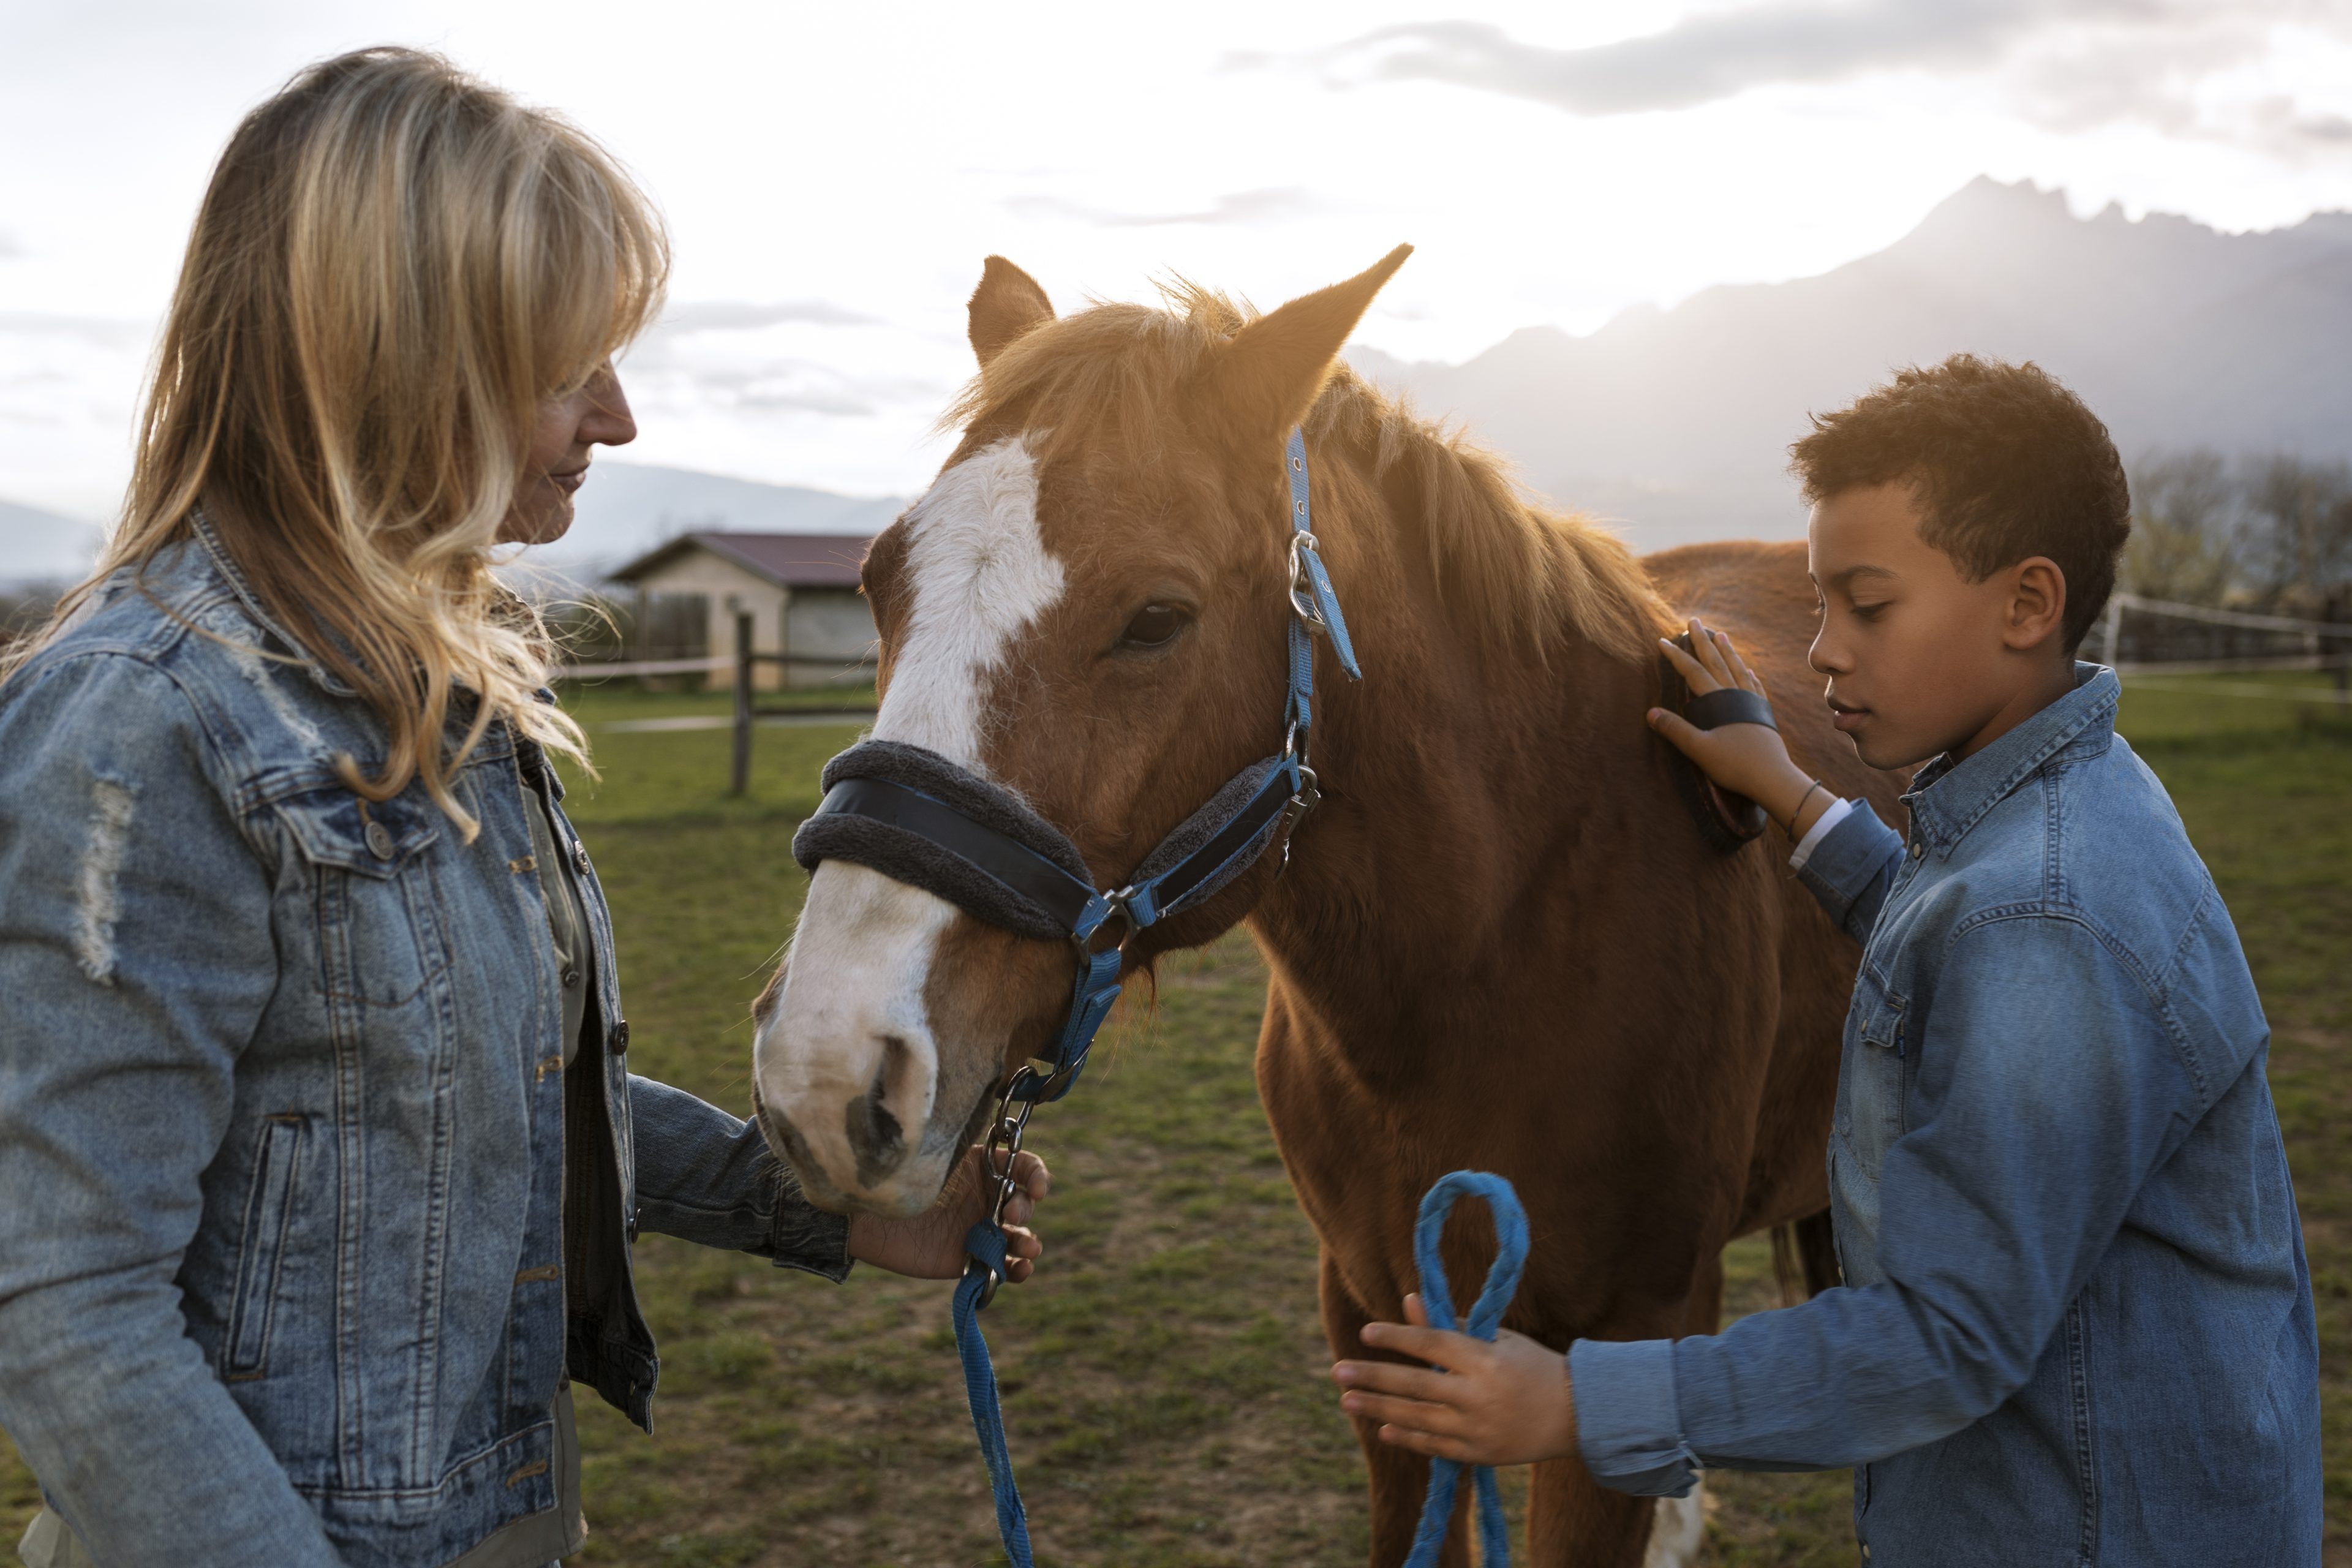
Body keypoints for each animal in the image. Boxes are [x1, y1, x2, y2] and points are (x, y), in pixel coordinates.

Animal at [751, 248, 1900, 1567]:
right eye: (878, 583)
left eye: (1157, 616)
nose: (824, 1075)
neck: (1494, 949)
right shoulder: (1375, 1318)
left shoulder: (1623, 1330)